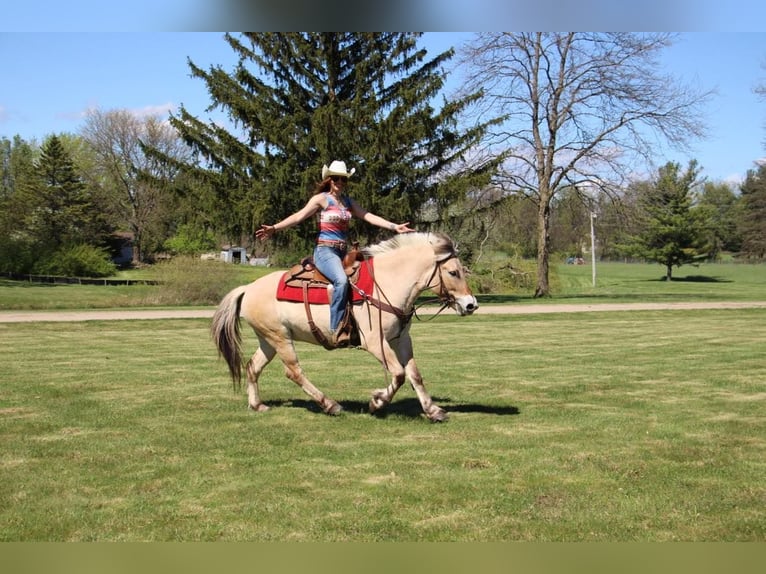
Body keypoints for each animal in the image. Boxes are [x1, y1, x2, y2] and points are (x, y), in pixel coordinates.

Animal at [208, 231, 474, 424]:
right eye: (453, 272)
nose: (471, 304)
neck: (386, 283)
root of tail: (248, 288)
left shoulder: (400, 339)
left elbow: (414, 375)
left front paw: (433, 410)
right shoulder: (374, 341)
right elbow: (398, 374)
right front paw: (376, 402)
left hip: (269, 339)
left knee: (253, 367)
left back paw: (257, 405)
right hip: (281, 339)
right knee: (294, 372)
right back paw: (330, 404)